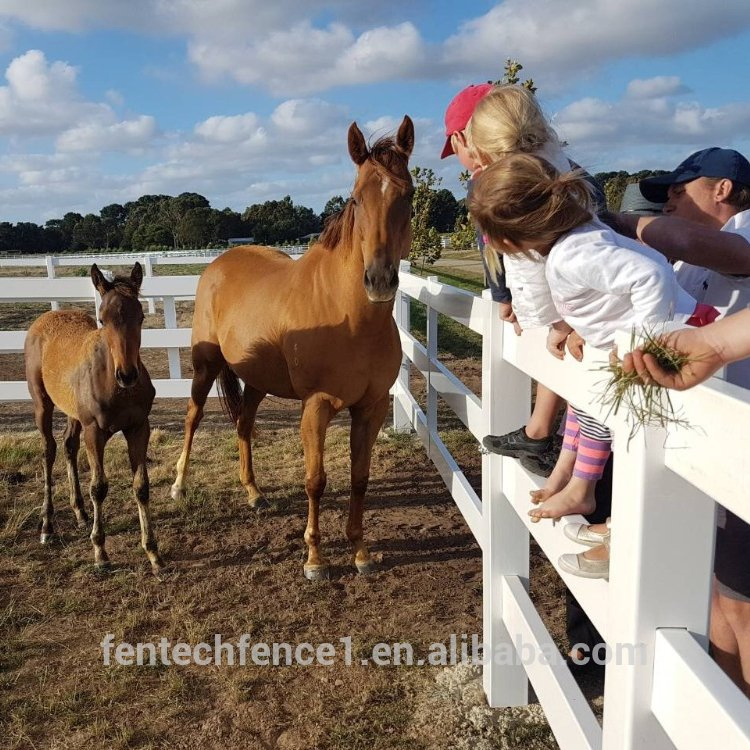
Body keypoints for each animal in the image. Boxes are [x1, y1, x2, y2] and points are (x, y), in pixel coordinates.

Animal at [24, 262, 164, 573]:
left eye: (140, 317)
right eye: (102, 319)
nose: (127, 375)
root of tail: (47, 316)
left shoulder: (139, 428)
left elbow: (141, 487)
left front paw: (153, 552)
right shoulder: (94, 432)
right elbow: (99, 487)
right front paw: (100, 552)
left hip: (72, 413)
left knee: (68, 445)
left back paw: (80, 513)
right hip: (42, 404)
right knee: (49, 450)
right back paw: (47, 526)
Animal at [171, 116, 415, 579]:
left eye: (408, 195)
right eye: (356, 199)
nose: (378, 280)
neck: (352, 320)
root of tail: (217, 264)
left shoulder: (371, 407)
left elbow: (359, 479)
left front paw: (360, 552)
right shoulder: (316, 406)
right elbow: (315, 480)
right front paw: (314, 559)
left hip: (257, 380)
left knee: (244, 424)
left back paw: (253, 493)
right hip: (204, 366)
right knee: (193, 418)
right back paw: (178, 484)